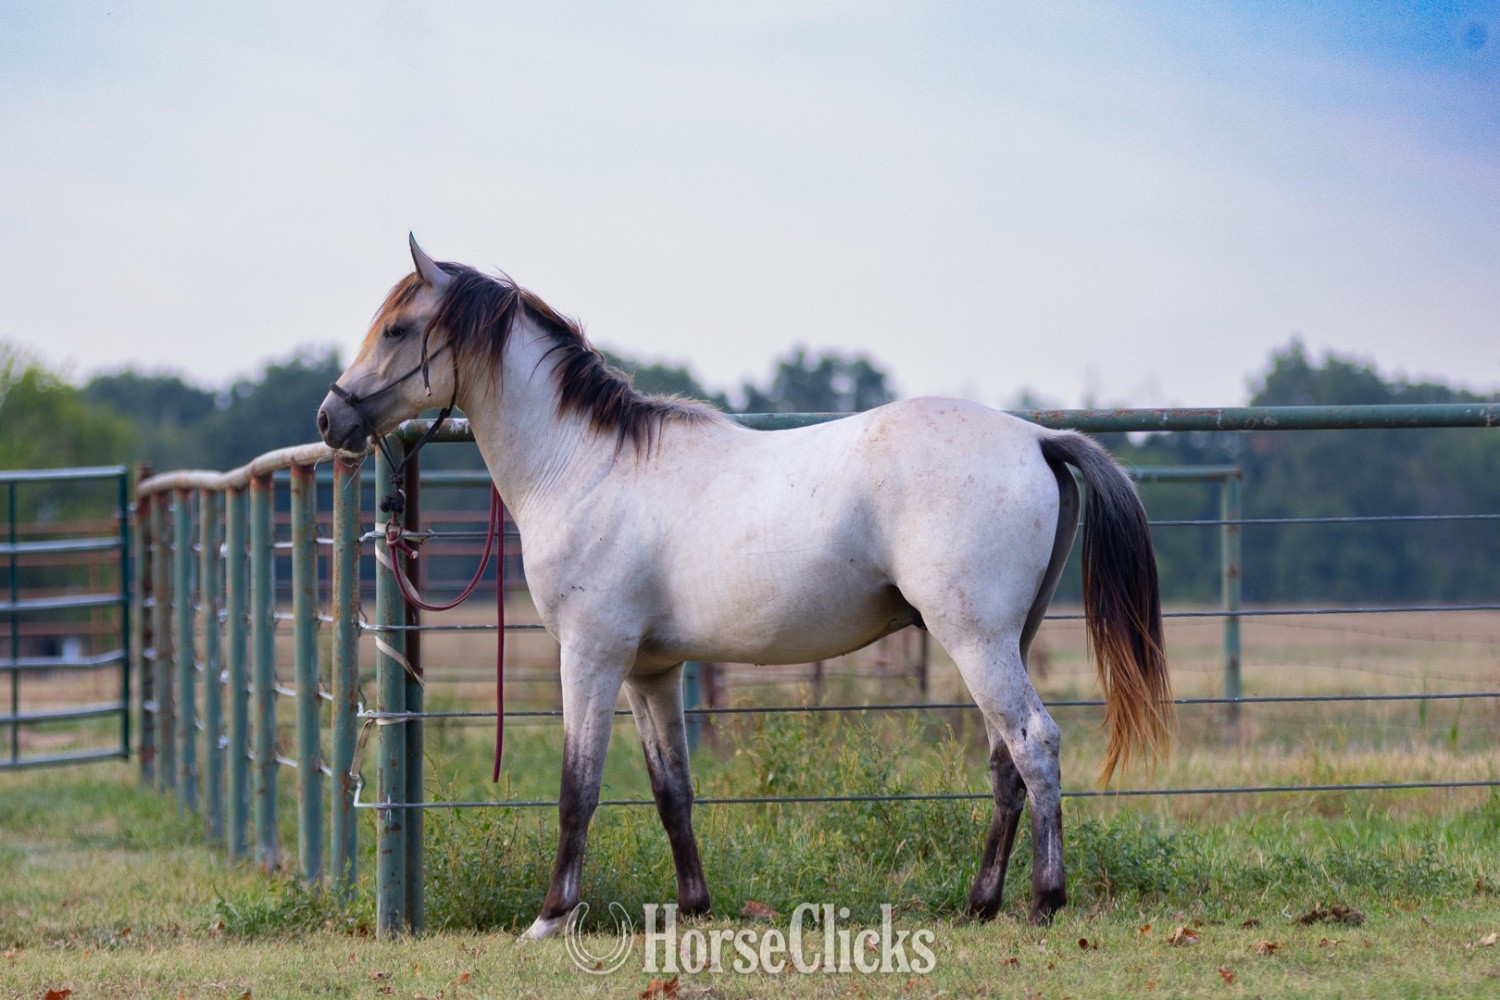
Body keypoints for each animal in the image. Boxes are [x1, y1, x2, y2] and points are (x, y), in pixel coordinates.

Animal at [318, 237, 1173, 937]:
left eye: (396, 330)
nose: (331, 418)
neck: (585, 465)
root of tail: (1035, 436)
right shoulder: (650, 670)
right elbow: (672, 790)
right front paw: (693, 909)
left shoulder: (591, 656)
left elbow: (577, 789)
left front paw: (552, 917)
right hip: (1002, 641)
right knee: (1005, 764)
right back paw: (981, 903)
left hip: (976, 640)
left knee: (1035, 745)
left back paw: (1044, 902)